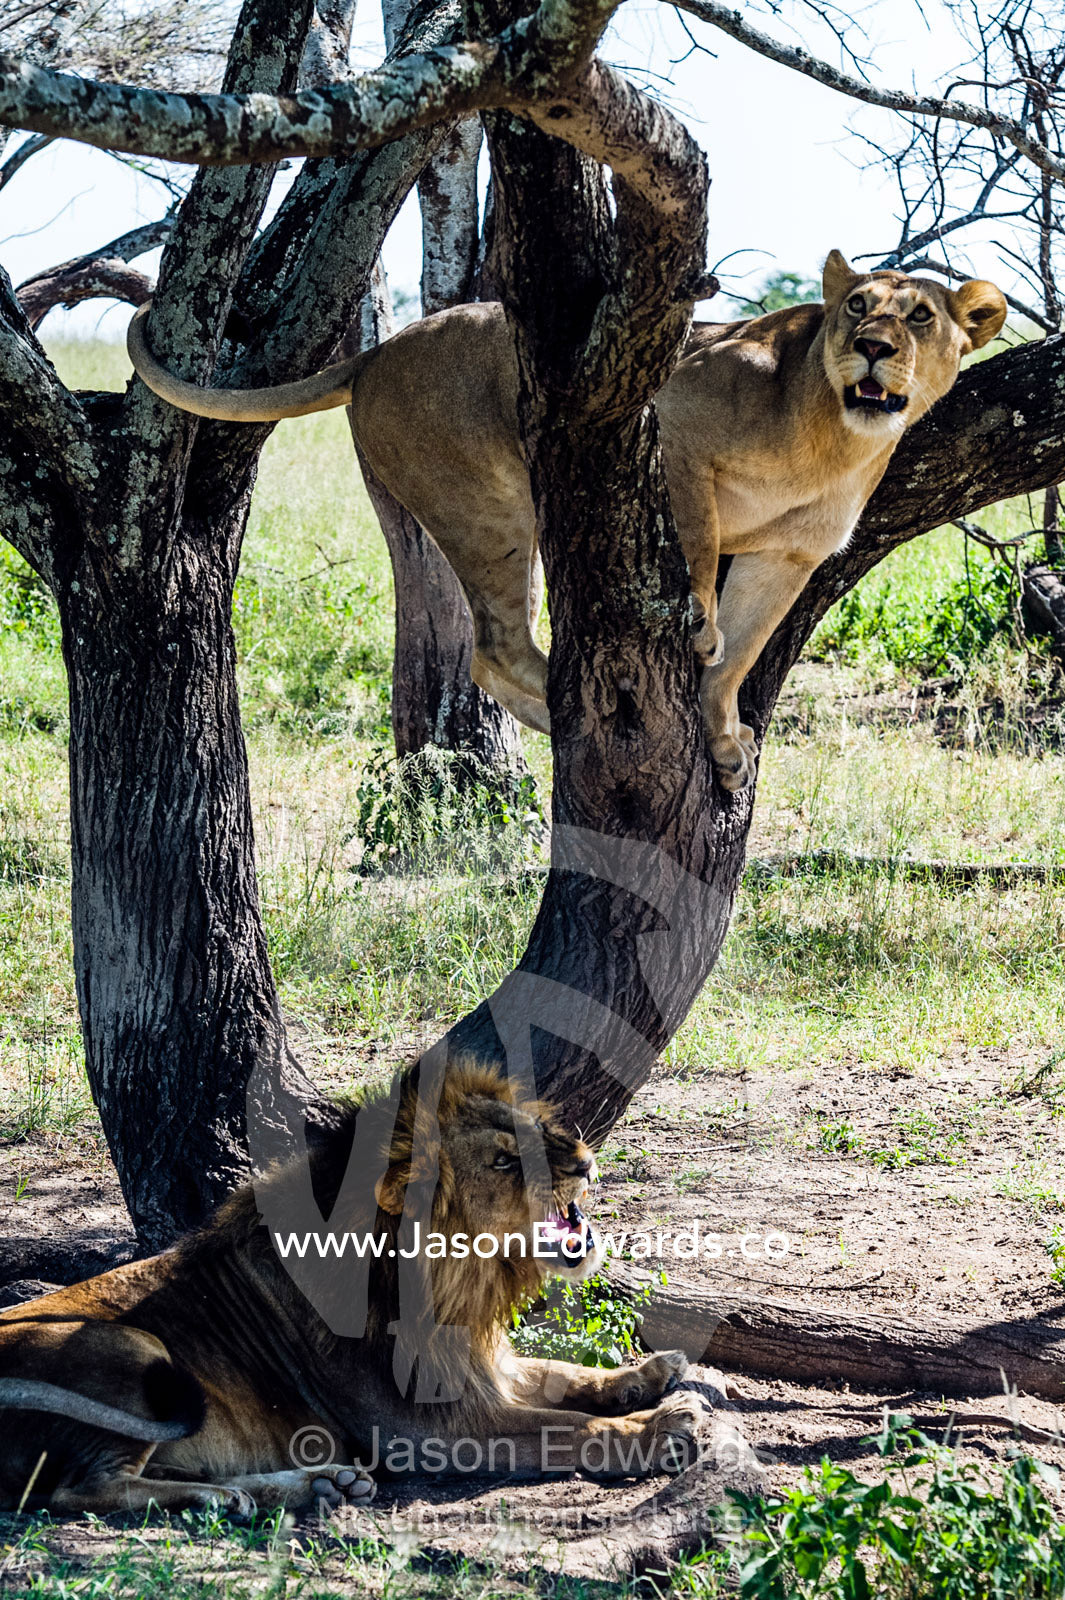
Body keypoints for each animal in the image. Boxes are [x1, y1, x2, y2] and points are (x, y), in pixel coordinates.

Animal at [0, 1063, 702, 1516]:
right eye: (504, 1162)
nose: (585, 1162)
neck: (453, 1284)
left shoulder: (478, 1365)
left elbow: (560, 1374)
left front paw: (651, 1374)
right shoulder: (432, 1430)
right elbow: (567, 1427)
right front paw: (660, 1430)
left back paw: (313, 1488)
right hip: (136, 1352)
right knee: (76, 1490)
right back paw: (218, 1497)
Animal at [126, 250, 1006, 790]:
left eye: (919, 318)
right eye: (856, 305)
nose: (871, 346)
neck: (835, 437)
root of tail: (379, 349)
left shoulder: (789, 554)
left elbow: (742, 656)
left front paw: (724, 741)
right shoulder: (670, 423)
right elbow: (697, 544)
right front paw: (697, 621)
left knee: (489, 654)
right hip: (491, 507)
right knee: (495, 649)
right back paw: (571, 713)